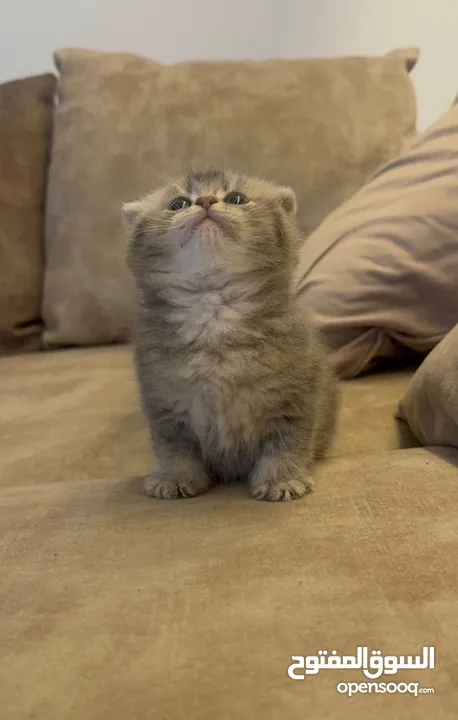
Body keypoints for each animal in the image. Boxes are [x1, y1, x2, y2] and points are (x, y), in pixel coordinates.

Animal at [123, 169, 338, 504]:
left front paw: (281, 480)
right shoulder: (163, 404)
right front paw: (175, 478)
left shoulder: (297, 396)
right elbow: (174, 448)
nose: (205, 201)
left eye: (237, 198)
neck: (214, 310)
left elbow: (288, 442)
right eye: (178, 203)